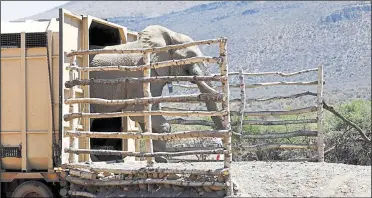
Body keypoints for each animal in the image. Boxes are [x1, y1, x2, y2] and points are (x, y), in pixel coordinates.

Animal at [88, 24, 225, 162]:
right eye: (191, 55)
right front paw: (163, 159)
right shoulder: (140, 76)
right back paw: (93, 160)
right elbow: (137, 111)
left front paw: (159, 158)